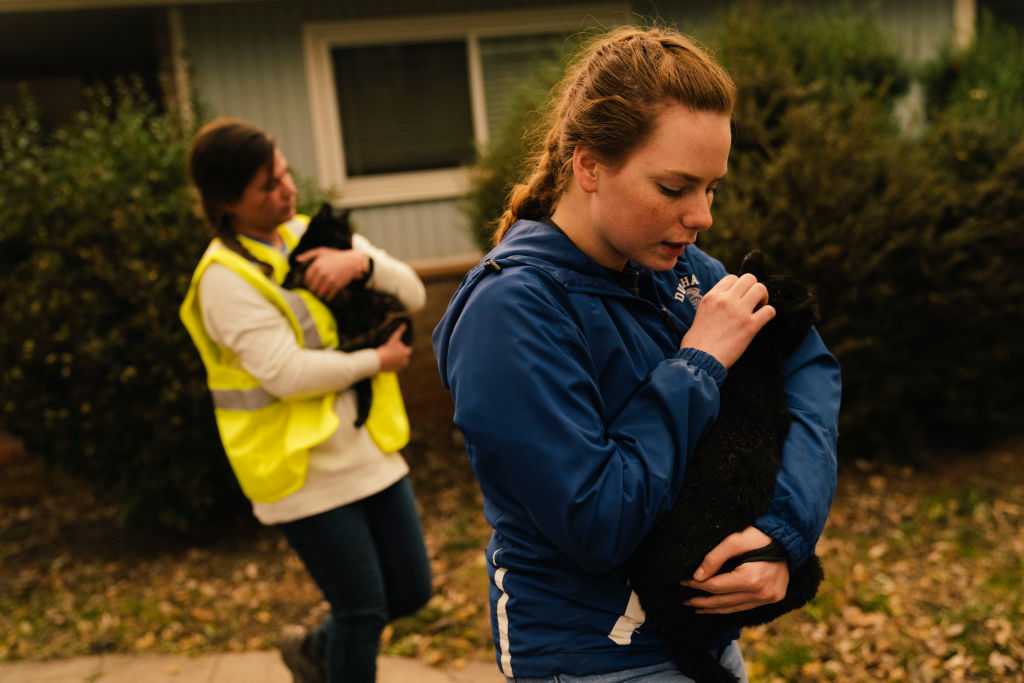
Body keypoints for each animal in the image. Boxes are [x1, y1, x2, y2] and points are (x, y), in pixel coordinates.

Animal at [282, 202, 413, 428]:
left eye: (350, 237)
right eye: (341, 235)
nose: (350, 249)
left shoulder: (356, 281)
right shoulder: (298, 260)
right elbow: (293, 269)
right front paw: (287, 282)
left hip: (388, 310)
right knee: (363, 376)